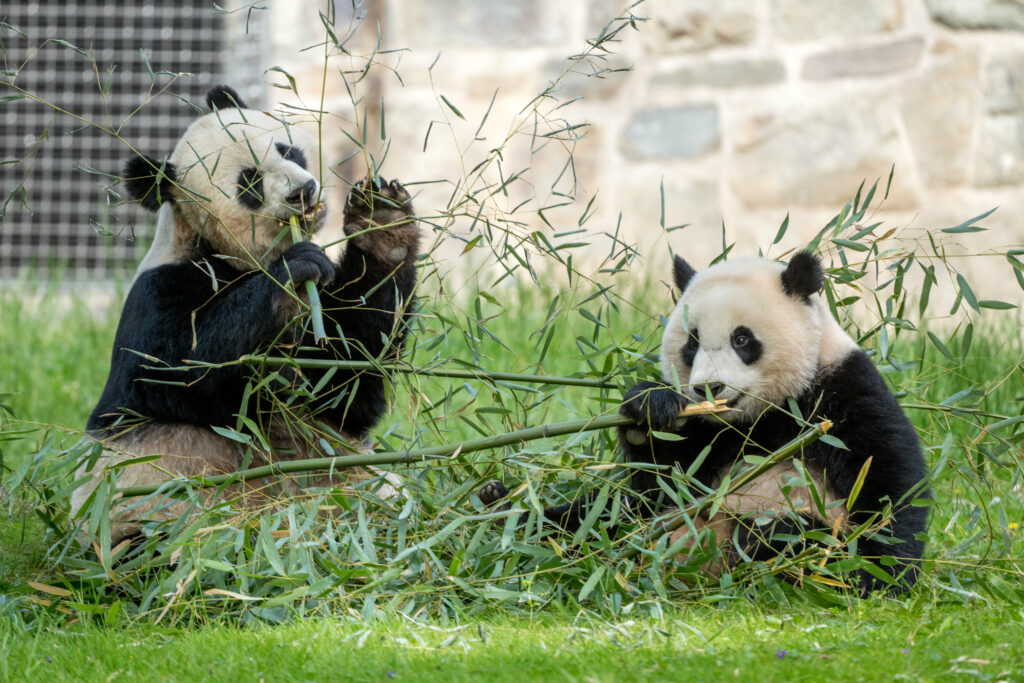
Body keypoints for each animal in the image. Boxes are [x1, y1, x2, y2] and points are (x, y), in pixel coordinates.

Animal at [71, 85, 420, 543]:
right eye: (250, 182)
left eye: (286, 149)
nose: (303, 191)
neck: (221, 253)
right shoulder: (160, 295)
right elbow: (185, 370)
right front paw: (296, 267)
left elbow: (345, 382)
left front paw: (383, 223)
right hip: (143, 507)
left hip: (352, 482)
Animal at [482, 251, 930, 594]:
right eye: (692, 341)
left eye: (742, 339)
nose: (708, 388)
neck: (758, 416)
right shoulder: (704, 434)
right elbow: (659, 480)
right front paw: (648, 411)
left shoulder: (840, 394)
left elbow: (888, 481)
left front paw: (878, 577)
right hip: (632, 524)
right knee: (585, 520)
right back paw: (497, 510)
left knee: (792, 534)